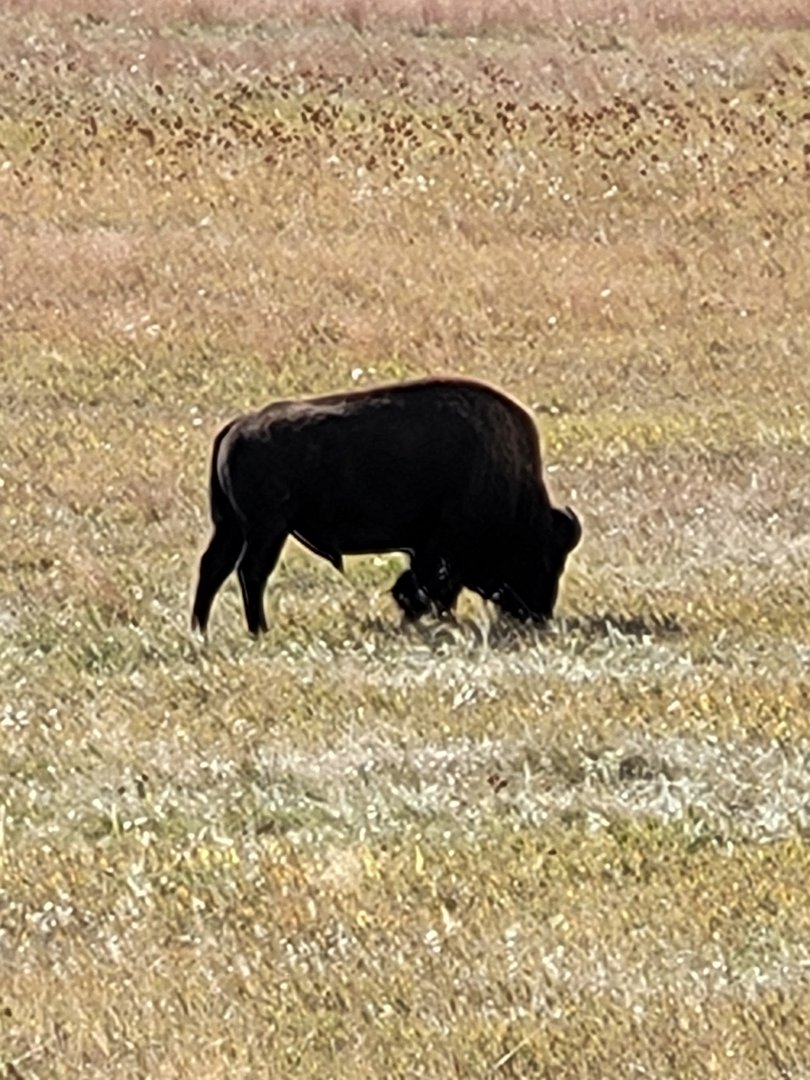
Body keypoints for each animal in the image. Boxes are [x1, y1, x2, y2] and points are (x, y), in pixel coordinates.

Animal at [191, 377, 581, 636]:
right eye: (544, 557)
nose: (538, 614)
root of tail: (237, 427)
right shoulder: (440, 551)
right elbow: (430, 588)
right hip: (266, 530)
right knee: (251, 572)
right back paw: (258, 629)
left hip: (231, 527)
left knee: (214, 568)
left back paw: (201, 630)